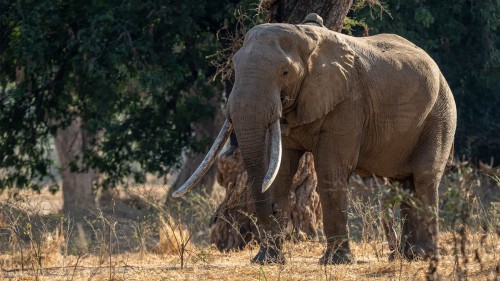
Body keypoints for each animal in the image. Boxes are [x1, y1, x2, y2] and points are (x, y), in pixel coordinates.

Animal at [173, 12, 458, 262]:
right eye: (234, 66)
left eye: (285, 72)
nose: (271, 213)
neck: (306, 37)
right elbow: (281, 173)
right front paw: (267, 261)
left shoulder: (348, 103)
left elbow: (331, 171)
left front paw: (335, 262)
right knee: (404, 184)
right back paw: (407, 257)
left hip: (440, 115)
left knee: (423, 179)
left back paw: (425, 256)